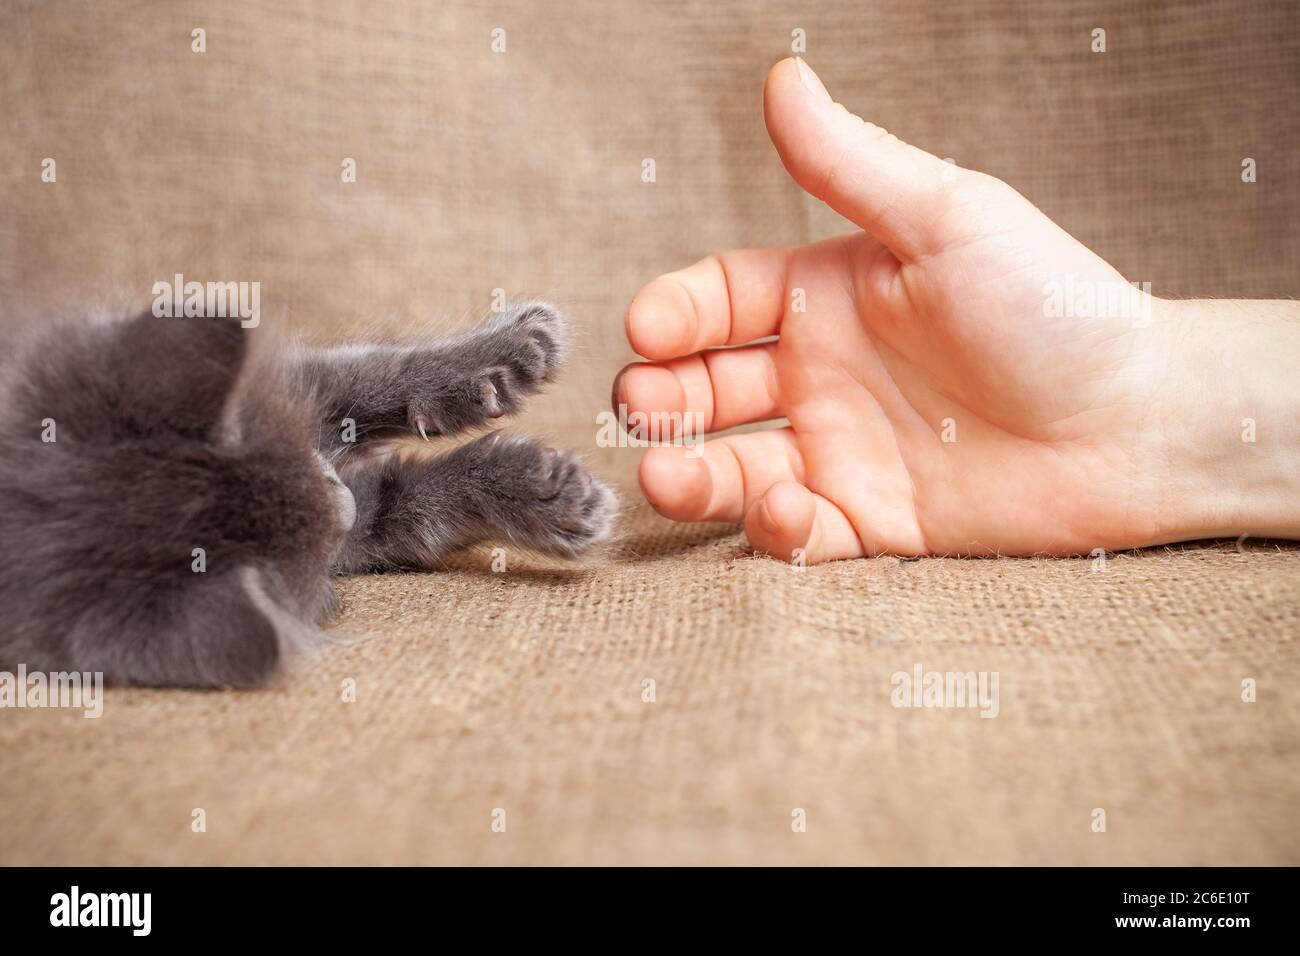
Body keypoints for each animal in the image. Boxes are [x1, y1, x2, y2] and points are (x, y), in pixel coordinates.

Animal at [0, 304, 616, 686]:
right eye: (301, 558)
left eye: (270, 438)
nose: (344, 506)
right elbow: (409, 506)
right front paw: (561, 499)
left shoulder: (298, 388)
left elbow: (371, 371)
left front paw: (517, 346)